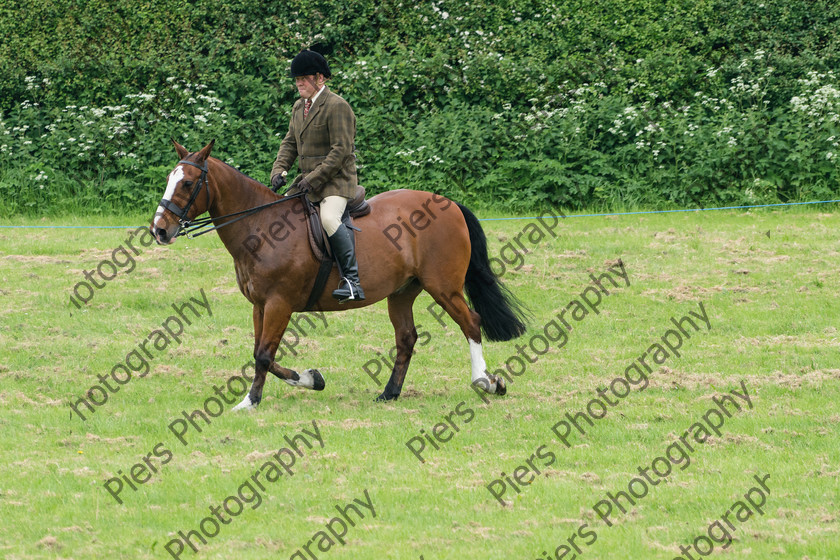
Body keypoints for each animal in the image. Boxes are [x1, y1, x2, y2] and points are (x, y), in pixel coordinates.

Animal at [151, 140, 528, 412]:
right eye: (169, 180)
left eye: (187, 182)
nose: (159, 230)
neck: (260, 227)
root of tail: (449, 204)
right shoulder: (260, 305)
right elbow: (261, 353)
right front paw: (310, 379)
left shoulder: (279, 303)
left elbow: (263, 355)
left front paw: (250, 402)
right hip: (402, 292)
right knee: (406, 339)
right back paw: (389, 394)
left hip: (444, 287)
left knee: (471, 323)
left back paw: (486, 382)